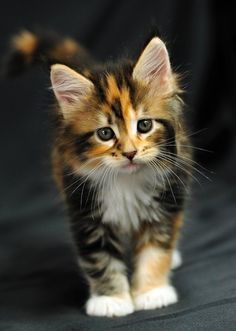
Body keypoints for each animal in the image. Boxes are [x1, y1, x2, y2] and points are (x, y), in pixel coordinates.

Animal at [5, 31, 193, 320]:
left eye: (144, 125)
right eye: (105, 133)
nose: (130, 153)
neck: (127, 181)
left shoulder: (166, 200)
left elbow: (155, 250)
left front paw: (152, 293)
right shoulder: (85, 211)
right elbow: (100, 259)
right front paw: (111, 300)